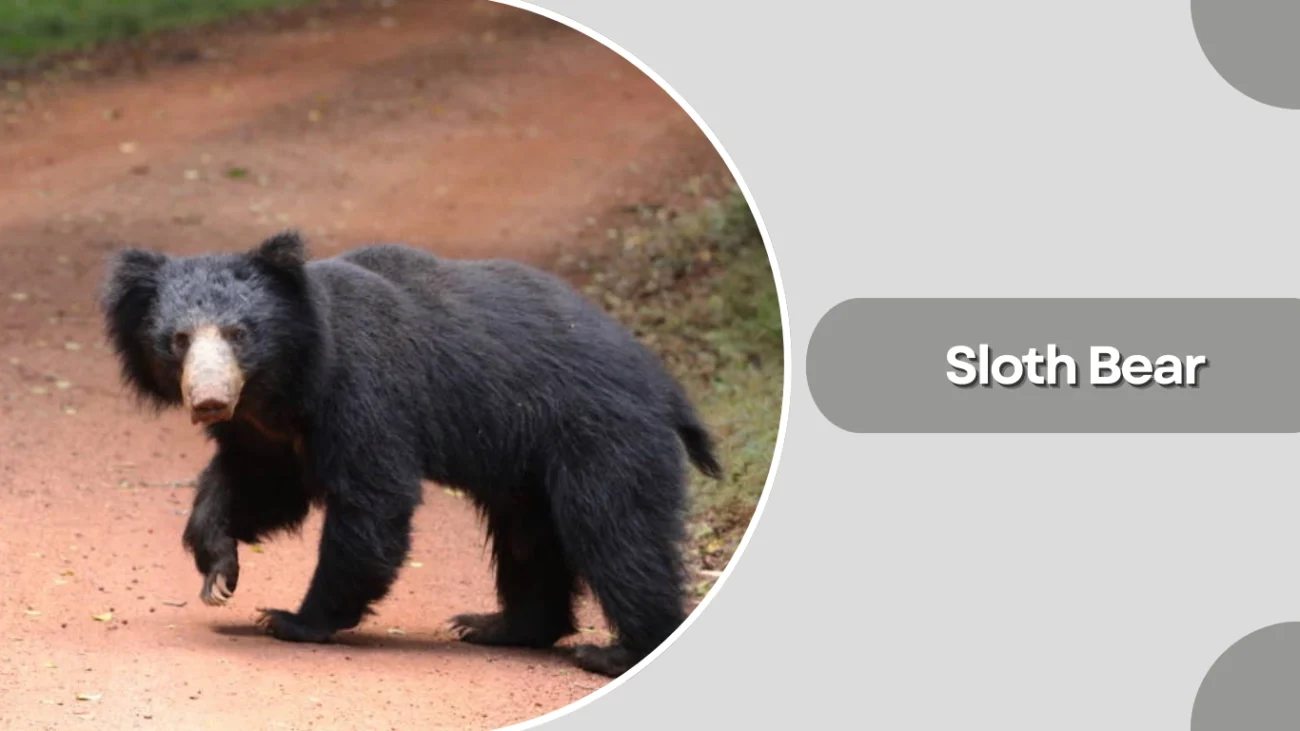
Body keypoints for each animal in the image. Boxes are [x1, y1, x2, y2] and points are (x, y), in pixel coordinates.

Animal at [98, 231, 722, 678]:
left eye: (237, 334)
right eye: (178, 340)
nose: (208, 402)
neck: (283, 384)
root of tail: (668, 390)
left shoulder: (362, 389)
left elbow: (373, 501)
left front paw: (293, 619)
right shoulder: (270, 430)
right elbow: (262, 484)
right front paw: (218, 568)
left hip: (601, 438)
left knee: (616, 533)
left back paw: (615, 653)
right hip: (533, 462)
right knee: (529, 538)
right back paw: (500, 626)